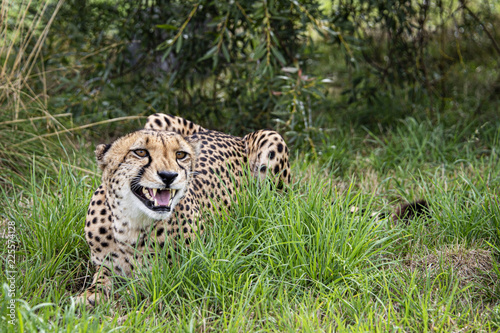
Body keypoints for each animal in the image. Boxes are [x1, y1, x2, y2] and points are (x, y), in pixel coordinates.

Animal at [76, 113, 292, 304]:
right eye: (140, 152)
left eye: (180, 155)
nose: (168, 175)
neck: (130, 224)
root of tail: (229, 134)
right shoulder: (105, 266)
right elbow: (101, 279)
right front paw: (90, 296)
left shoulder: (177, 270)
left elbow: (141, 286)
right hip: (157, 117)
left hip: (272, 140)